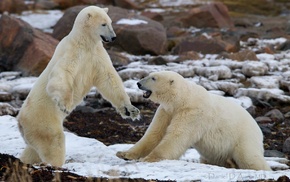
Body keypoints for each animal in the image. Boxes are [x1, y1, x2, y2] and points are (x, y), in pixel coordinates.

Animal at [17, 5, 140, 167]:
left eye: (110, 22)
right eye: (103, 24)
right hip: (42, 120)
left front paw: (131, 110)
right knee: (53, 142)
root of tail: (20, 120)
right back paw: (53, 164)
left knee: (33, 149)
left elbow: (109, 79)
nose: (113, 37)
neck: (85, 41)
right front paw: (65, 105)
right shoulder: (73, 51)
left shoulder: (96, 54)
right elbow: (62, 73)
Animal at [116, 71, 270, 171]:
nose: (138, 83)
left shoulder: (193, 113)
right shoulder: (166, 111)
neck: (182, 99)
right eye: (149, 75)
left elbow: (176, 137)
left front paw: (148, 158)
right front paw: (124, 154)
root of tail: (258, 130)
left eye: (153, 78)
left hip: (243, 137)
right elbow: (154, 134)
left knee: (249, 158)